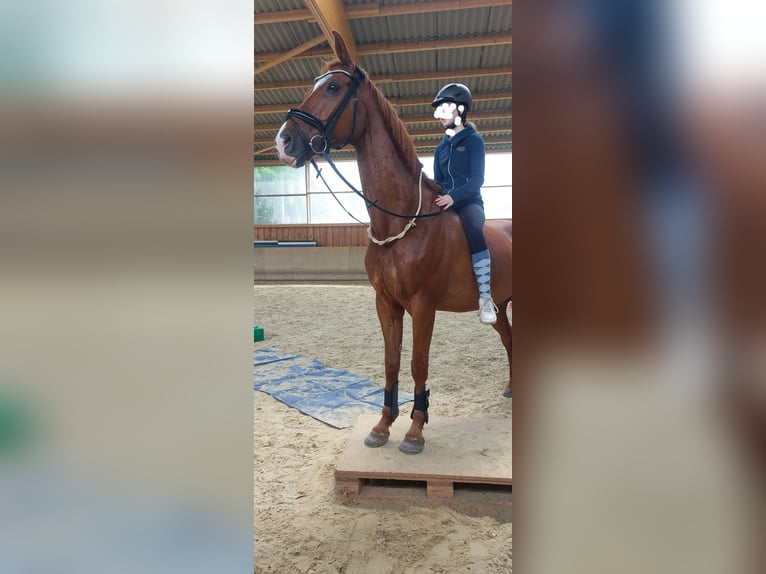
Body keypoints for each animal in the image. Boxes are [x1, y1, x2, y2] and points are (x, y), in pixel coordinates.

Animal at [275, 31, 512, 455]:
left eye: (333, 87)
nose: (283, 142)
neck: (399, 224)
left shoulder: (423, 306)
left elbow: (418, 363)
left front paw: (416, 430)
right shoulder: (386, 303)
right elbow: (390, 362)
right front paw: (383, 425)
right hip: (500, 307)